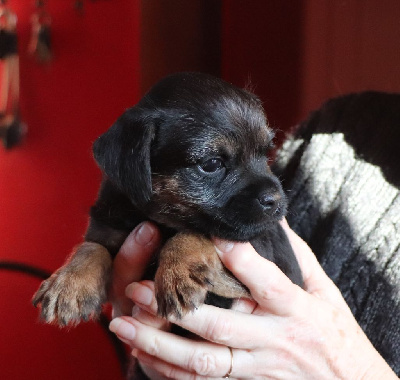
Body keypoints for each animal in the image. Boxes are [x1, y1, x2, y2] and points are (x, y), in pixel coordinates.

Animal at [32, 72, 302, 326]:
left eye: (266, 152)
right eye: (212, 164)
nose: (276, 200)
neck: (159, 217)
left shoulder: (263, 260)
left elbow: (193, 232)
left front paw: (179, 272)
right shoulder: (106, 226)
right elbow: (91, 246)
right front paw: (69, 283)